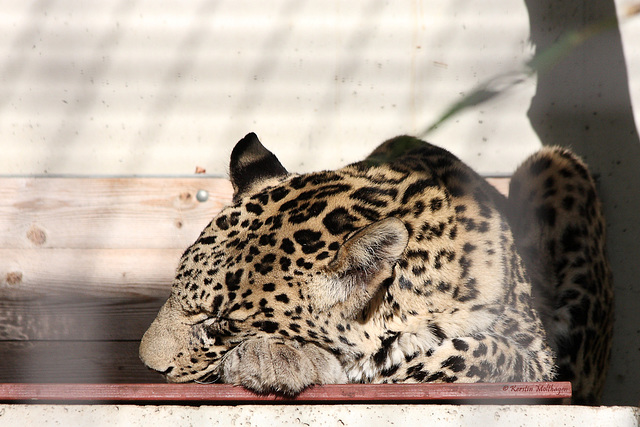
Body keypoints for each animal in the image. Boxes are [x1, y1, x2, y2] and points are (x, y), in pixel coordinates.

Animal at [139, 133, 608, 404]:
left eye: (222, 322)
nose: (148, 367)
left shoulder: (532, 358)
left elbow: (448, 355)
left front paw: (283, 359)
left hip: (554, 164)